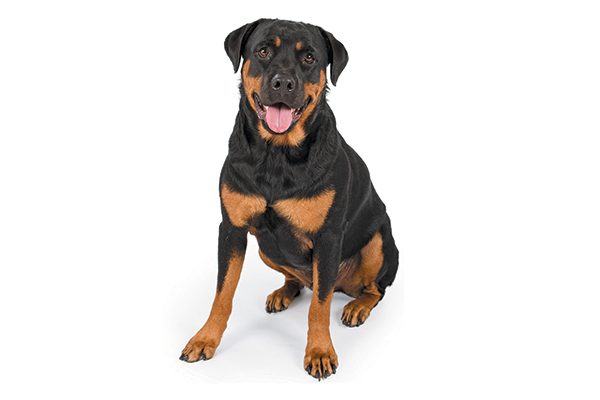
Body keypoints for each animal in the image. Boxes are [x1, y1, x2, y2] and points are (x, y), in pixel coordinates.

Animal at [182, 19, 398, 382]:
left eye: (309, 57)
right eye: (262, 50)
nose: (283, 82)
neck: (276, 154)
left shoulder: (328, 237)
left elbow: (320, 306)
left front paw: (320, 352)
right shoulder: (232, 230)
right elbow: (222, 293)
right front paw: (204, 339)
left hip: (379, 242)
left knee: (372, 289)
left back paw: (357, 306)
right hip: (266, 249)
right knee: (297, 279)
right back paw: (284, 292)